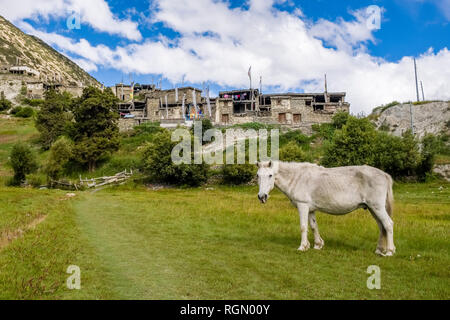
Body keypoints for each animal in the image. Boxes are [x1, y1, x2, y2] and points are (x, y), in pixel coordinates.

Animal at [258, 161, 396, 256]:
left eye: (270, 175)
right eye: (258, 175)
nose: (261, 196)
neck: (298, 177)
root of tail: (384, 174)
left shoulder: (303, 206)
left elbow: (303, 227)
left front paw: (302, 247)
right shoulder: (311, 209)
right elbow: (313, 226)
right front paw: (317, 245)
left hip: (377, 207)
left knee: (388, 224)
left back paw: (389, 251)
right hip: (373, 209)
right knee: (381, 227)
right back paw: (379, 250)